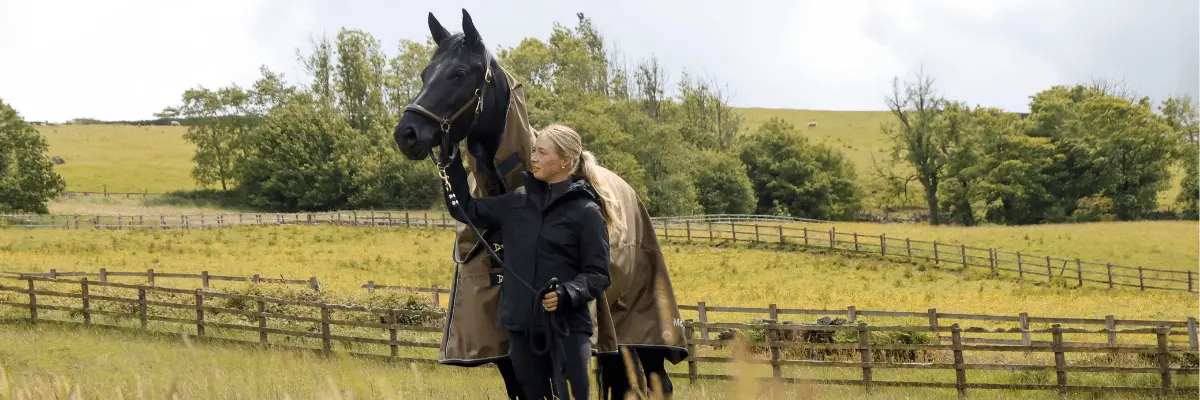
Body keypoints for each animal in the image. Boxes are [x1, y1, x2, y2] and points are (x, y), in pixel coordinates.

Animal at [392, 9, 688, 399]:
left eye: (459, 73)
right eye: (426, 73)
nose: (406, 133)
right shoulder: (507, 352)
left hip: (644, 333)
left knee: (658, 383)